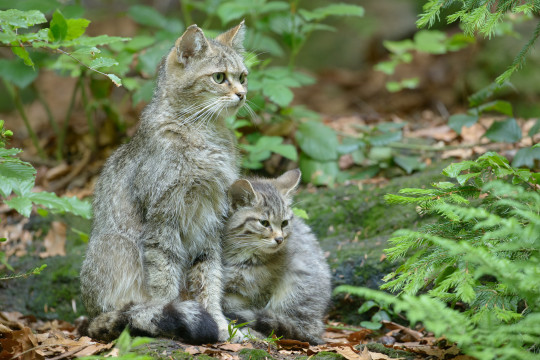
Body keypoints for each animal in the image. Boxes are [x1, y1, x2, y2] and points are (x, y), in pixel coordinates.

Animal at [80, 21, 249, 344]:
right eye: (219, 77)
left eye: (243, 76)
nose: (243, 94)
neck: (205, 132)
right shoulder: (162, 220)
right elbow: (164, 280)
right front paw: (169, 315)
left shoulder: (210, 220)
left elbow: (209, 278)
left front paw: (220, 324)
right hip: (116, 245)